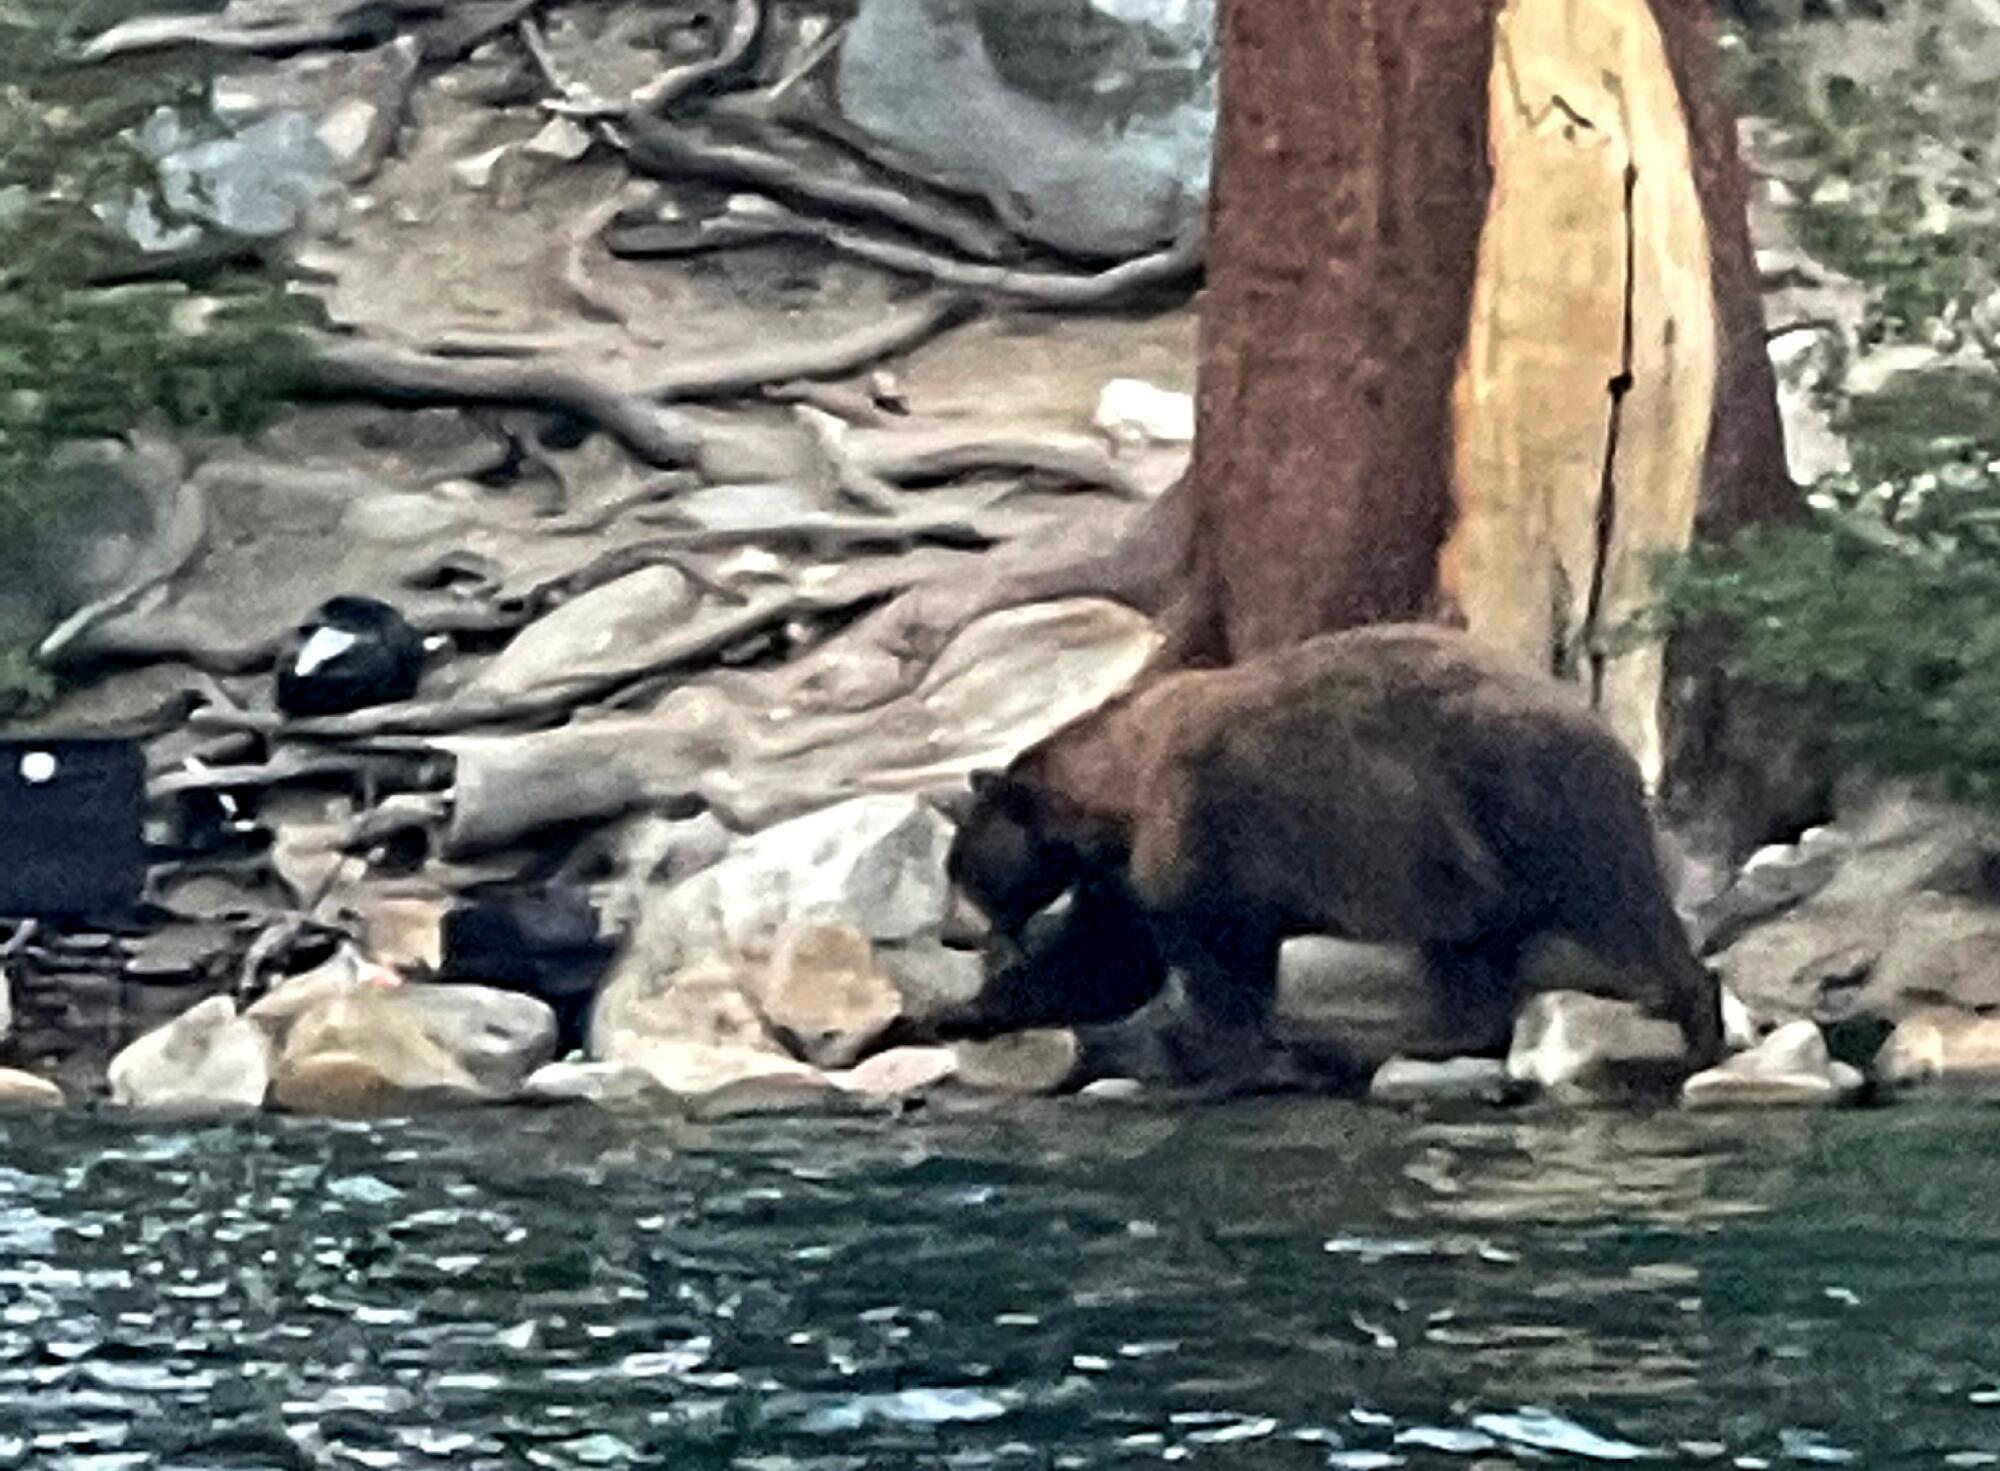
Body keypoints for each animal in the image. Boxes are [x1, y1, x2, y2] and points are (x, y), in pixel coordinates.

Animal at [920, 619, 1720, 1079]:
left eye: (964, 868)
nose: (952, 931)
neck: (1111, 796)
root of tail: (1606, 730)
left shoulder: (1201, 830)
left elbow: (1210, 956)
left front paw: (1213, 1047)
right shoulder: (1122, 870)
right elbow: (1105, 960)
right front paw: (949, 1010)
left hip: (1531, 805)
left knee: (1617, 906)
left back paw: (1694, 1027)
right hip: (1467, 859)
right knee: (1472, 955)